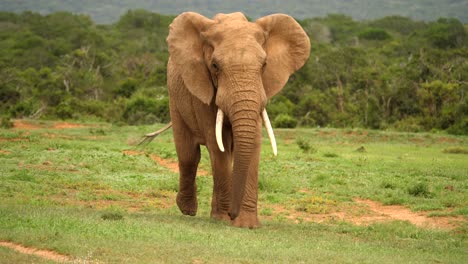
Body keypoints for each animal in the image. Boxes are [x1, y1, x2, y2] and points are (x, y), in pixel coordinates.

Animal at [163, 11, 308, 227]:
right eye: (215, 66)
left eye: (264, 65)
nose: (233, 214)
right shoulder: (203, 89)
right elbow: (217, 145)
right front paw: (224, 218)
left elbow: (253, 143)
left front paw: (246, 224)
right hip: (175, 98)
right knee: (189, 154)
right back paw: (188, 210)